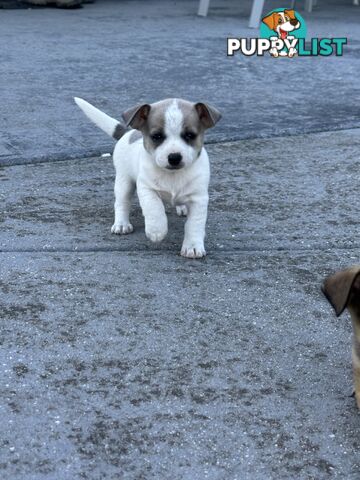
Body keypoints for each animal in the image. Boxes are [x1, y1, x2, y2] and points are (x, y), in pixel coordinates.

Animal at [74, 95, 221, 256]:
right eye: (157, 136)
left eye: (190, 135)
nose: (174, 157)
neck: (173, 175)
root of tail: (128, 132)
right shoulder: (146, 189)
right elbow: (154, 208)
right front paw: (156, 230)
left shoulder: (199, 198)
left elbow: (194, 224)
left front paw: (193, 246)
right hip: (124, 183)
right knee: (121, 203)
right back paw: (121, 224)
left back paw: (182, 208)